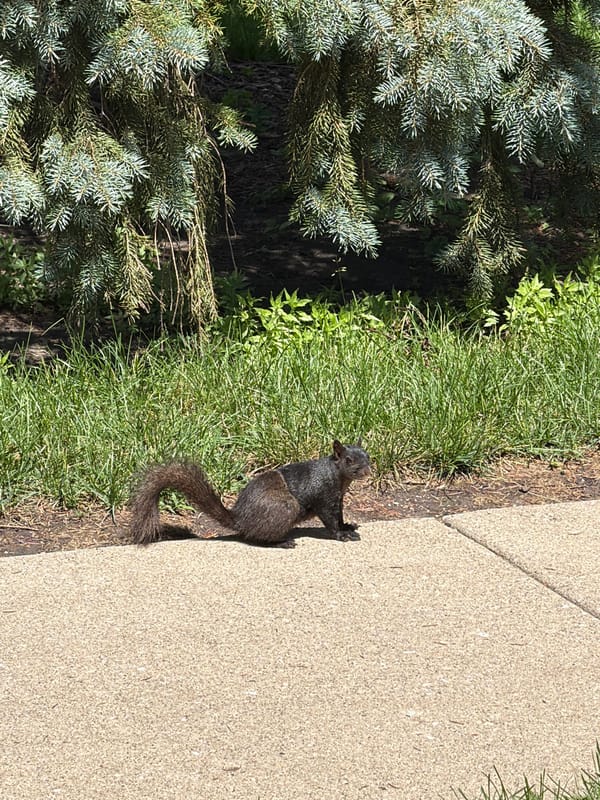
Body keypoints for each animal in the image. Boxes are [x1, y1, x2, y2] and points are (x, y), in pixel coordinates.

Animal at [130, 440, 371, 547]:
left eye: (367, 455)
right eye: (349, 460)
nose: (367, 470)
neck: (339, 477)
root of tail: (240, 520)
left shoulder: (337, 500)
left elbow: (339, 516)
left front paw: (347, 526)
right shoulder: (324, 497)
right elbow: (329, 520)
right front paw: (341, 535)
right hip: (285, 507)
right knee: (257, 538)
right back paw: (281, 542)